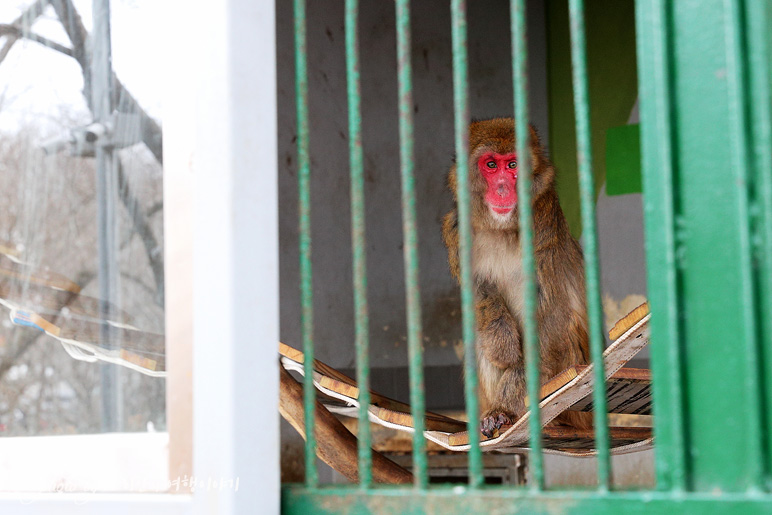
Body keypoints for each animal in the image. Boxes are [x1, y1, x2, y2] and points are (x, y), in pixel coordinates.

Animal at [444, 118, 596, 440]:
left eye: (513, 165)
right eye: (491, 165)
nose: (503, 188)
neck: (501, 228)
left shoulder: (542, 222)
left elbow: (549, 321)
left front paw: (505, 409)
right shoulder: (455, 227)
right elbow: (479, 292)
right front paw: (502, 343)